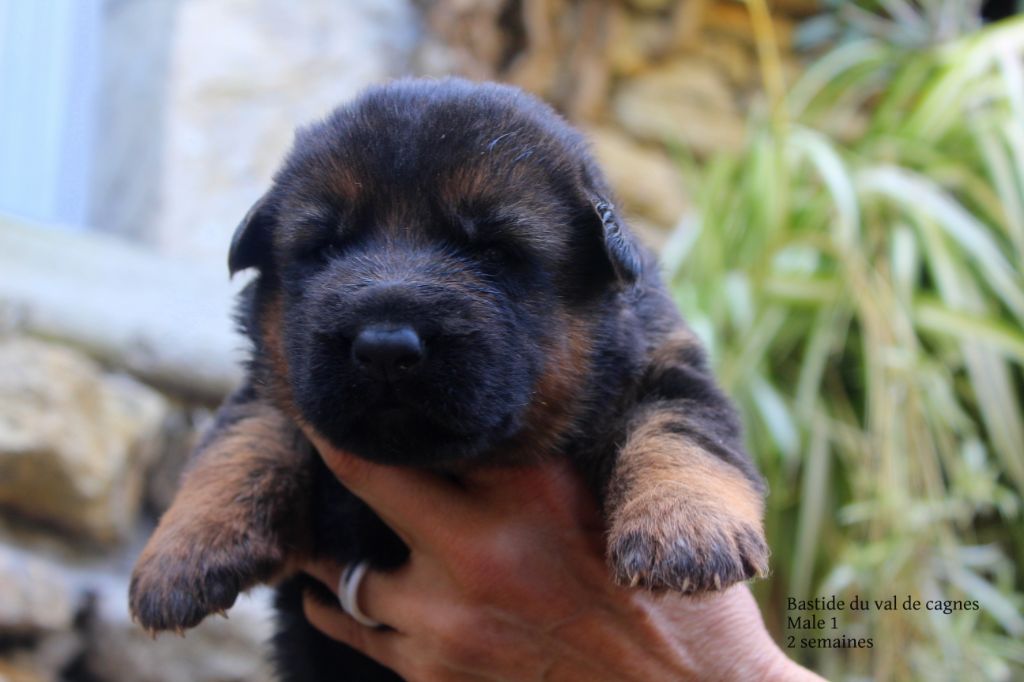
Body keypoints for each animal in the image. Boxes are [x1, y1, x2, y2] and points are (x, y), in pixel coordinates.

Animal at [130, 76, 770, 675]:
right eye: (325, 247)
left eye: (494, 250)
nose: (385, 348)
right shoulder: (277, 383)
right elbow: (240, 442)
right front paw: (181, 553)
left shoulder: (666, 367)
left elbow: (679, 435)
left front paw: (686, 530)